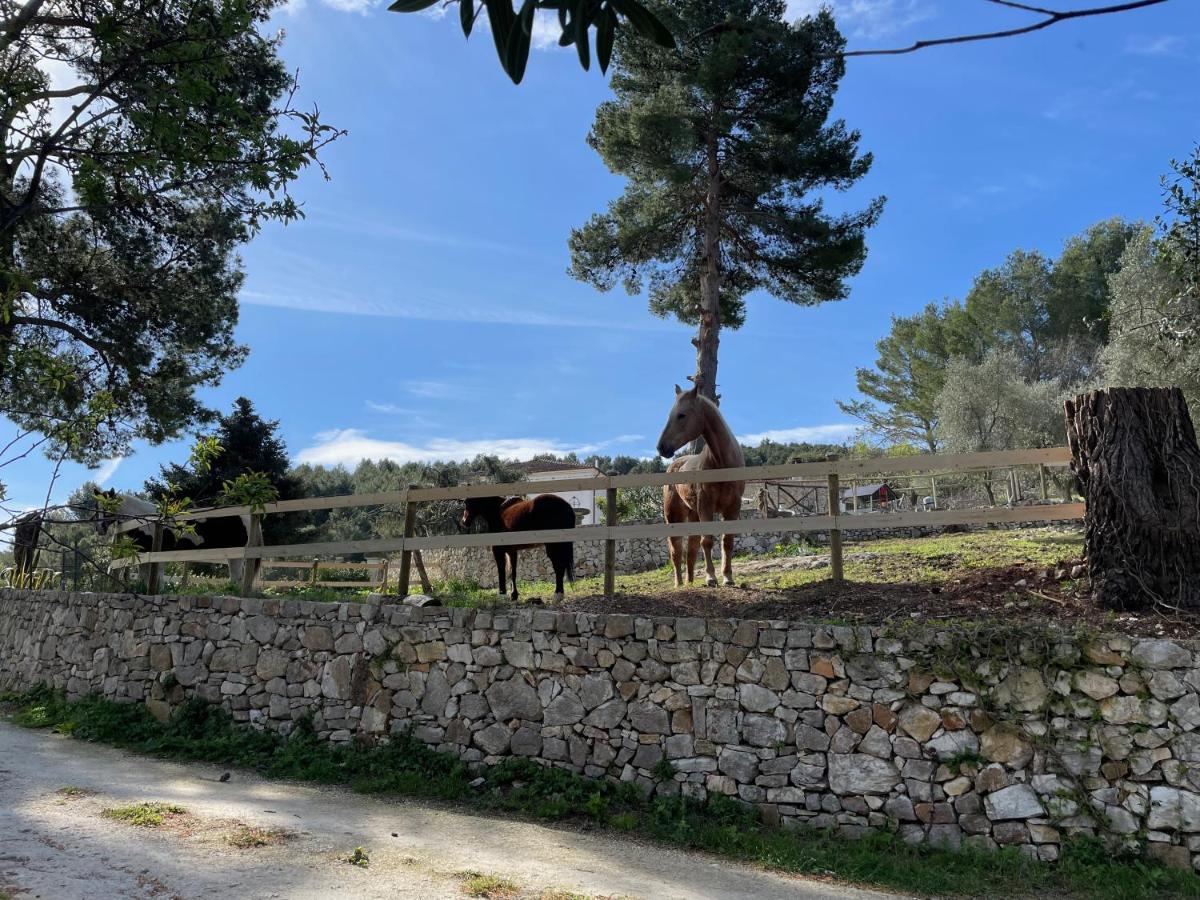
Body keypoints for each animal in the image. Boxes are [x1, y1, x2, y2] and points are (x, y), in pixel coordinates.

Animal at [657, 388, 739, 592]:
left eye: (682, 415)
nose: (661, 447)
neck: (721, 465)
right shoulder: (706, 507)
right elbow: (707, 541)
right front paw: (711, 578)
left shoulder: (733, 508)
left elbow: (727, 542)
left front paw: (728, 577)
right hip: (674, 516)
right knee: (676, 550)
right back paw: (679, 583)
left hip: (693, 514)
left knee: (691, 550)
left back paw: (690, 581)